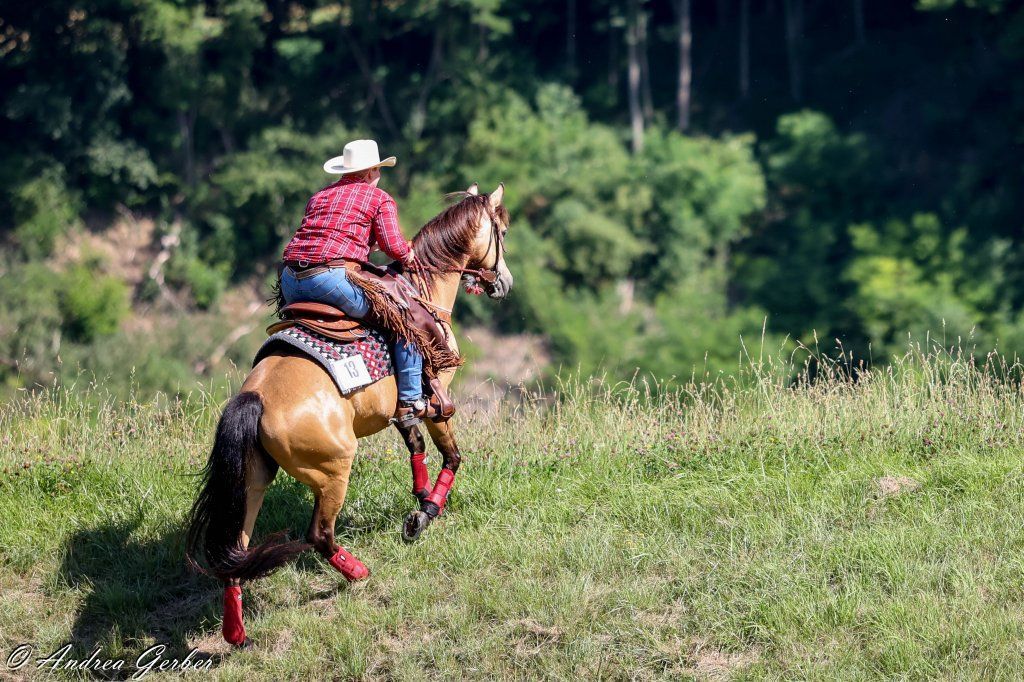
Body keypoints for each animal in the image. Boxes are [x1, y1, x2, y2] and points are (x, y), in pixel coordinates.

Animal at [185, 183, 512, 647]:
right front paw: (425, 513)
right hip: (333, 469)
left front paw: (419, 494)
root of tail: (256, 399)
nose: (503, 282)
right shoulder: (437, 400)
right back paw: (359, 573)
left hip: (252, 480)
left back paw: (236, 633)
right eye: (501, 229)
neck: (423, 287)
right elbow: (452, 455)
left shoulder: (402, 410)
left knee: (236, 550)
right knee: (319, 534)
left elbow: (413, 441)